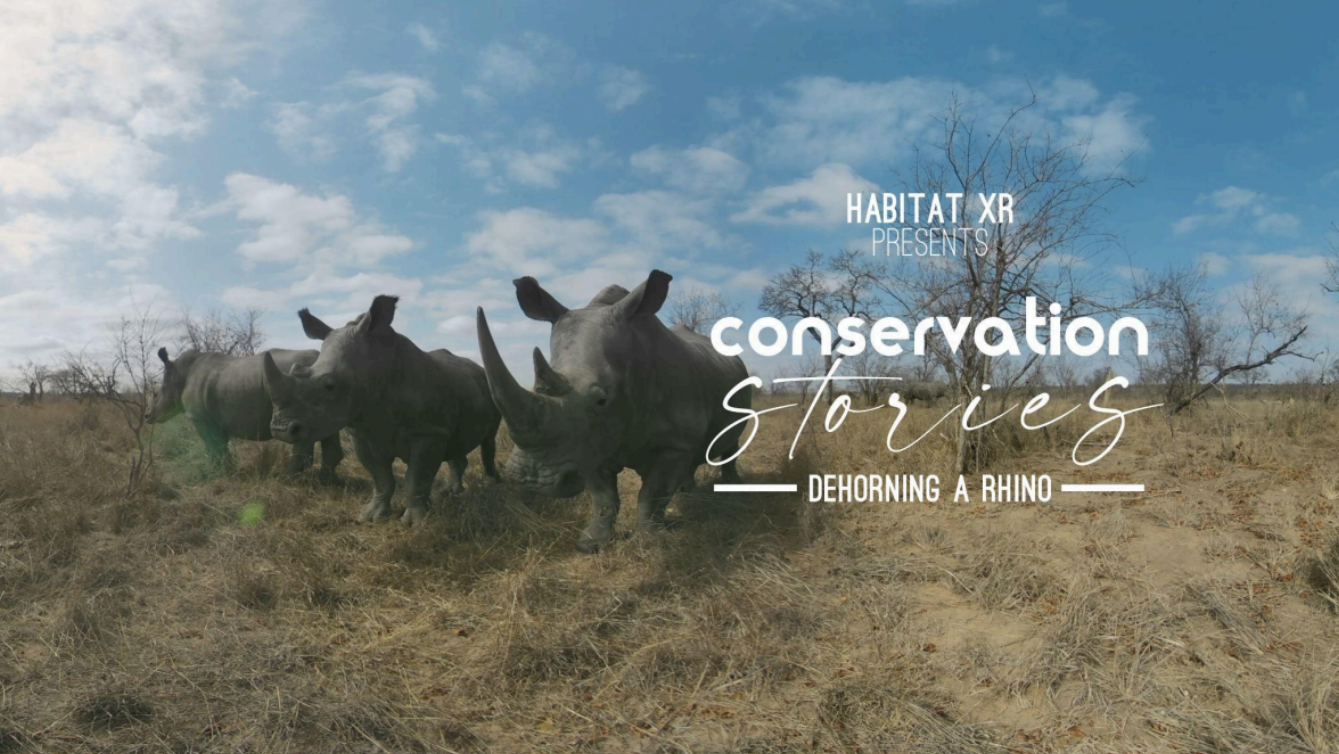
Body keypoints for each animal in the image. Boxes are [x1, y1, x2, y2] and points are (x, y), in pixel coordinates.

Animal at [145, 348, 344, 480]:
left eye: (155, 394)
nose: (147, 417)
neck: (177, 373)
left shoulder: (200, 418)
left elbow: (214, 447)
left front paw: (219, 475)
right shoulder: (215, 420)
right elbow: (218, 447)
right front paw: (223, 471)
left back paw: (282, 479)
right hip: (323, 390)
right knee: (325, 427)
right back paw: (325, 480)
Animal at [262, 295, 502, 524]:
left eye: (329, 386)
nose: (281, 430)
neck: (377, 363)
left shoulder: (428, 433)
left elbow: (416, 477)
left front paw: (415, 521)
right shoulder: (361, 432)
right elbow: (381, 477)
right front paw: (371, 517)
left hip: (491, 386)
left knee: (488, 439)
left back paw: (492, 485)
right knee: (456, 444)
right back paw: (451, 493)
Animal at [476, 269, 751, 553]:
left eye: (601, 400)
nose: (531, 481)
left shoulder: (672, 443)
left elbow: (652, 494)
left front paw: (651, 542)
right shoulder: (587, 442)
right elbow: (604, 497)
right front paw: (591, 543)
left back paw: (733, 485)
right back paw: (688, 491)